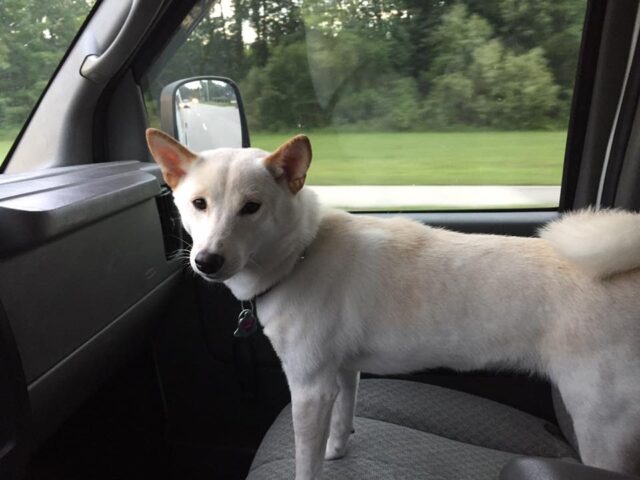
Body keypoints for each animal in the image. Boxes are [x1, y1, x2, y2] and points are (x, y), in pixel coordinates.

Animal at [148, 129, 640, 478]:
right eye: (198, 204)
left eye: (251, 207)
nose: (207, 261)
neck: (302, 253)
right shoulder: (342, 372)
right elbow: (343, 417)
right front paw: (337, 450)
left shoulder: (309, 389)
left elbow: (305, 461)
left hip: (600, 426)